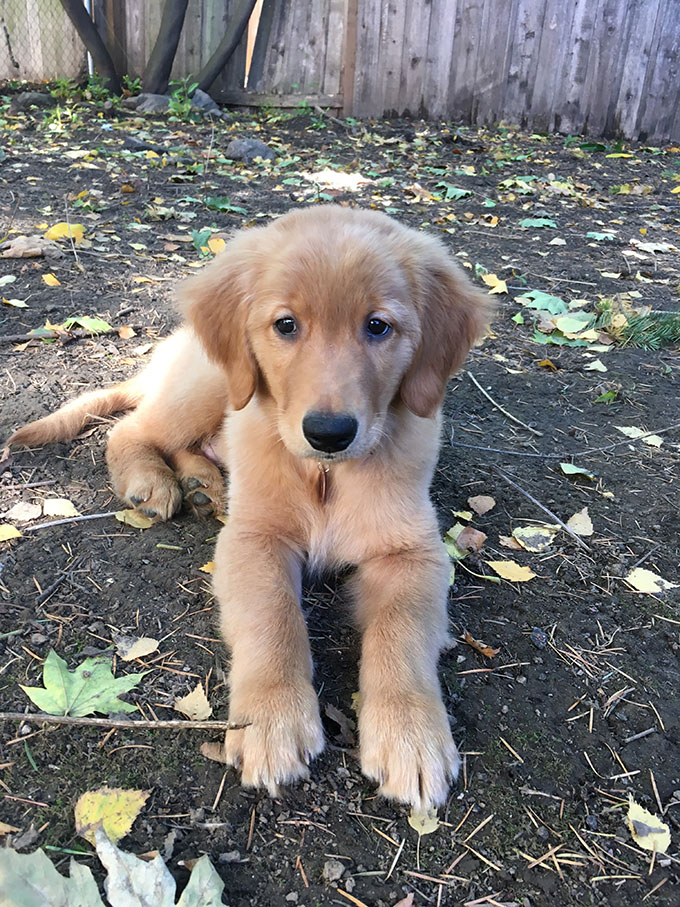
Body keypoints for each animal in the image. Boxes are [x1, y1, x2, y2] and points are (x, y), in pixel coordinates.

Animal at [10, 206, 488, 808]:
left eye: (378, 326)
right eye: (286, 325)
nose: (329, 433)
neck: (324, 478)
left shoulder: (413, 552)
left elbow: (402, 631)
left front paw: (411, 736)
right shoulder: (253, 538)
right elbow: (271, 617)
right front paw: (272, 722)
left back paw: (202, 484)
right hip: (210, 385)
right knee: (131, 428)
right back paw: (153, 481)